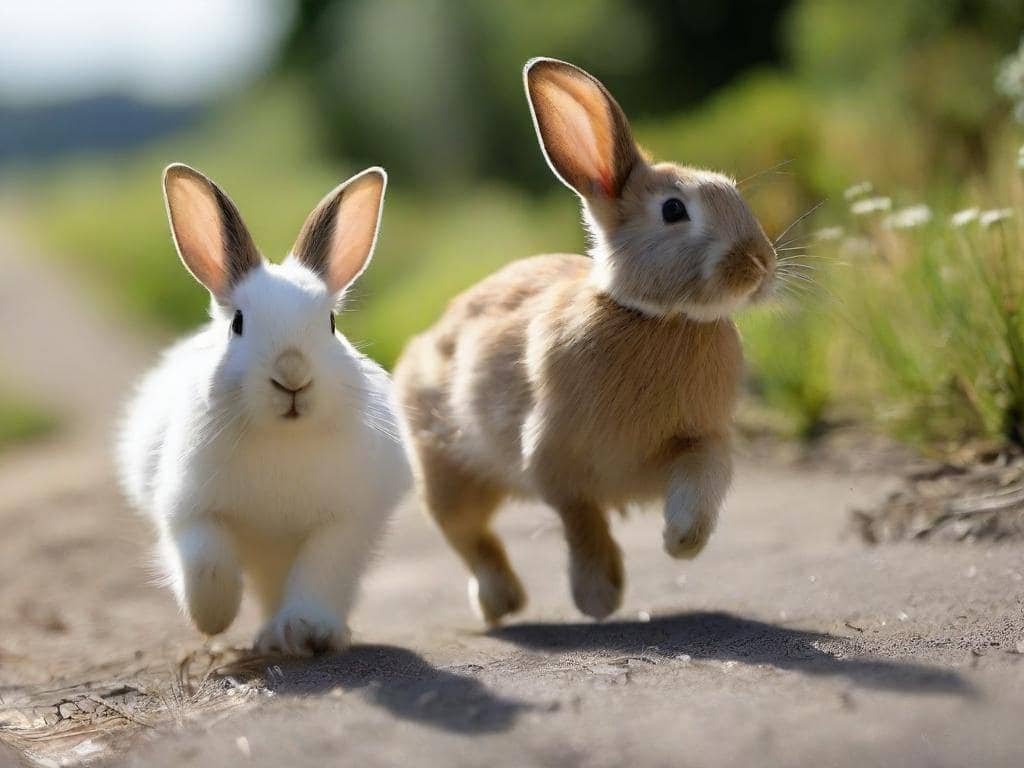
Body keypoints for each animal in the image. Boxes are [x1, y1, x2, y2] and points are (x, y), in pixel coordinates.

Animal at [117, 164, 411, 655]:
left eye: (331, 324)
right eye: (238, 323)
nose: (292, 375)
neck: (282, 438)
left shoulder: (346, 522)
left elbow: (321, 573)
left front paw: (309, 631)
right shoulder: (190, 511)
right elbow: (207, 564)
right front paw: (213, 618)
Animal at [393, 58, 776, 625]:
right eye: (674, 210)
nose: (759, 263)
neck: (660, 318)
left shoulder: (701, 440)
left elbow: (700, 481)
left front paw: (681, 542)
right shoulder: (554, 459)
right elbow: (582, 521)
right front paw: (599, 596)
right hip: (446, 466)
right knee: (468, 534)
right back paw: (499, 604)